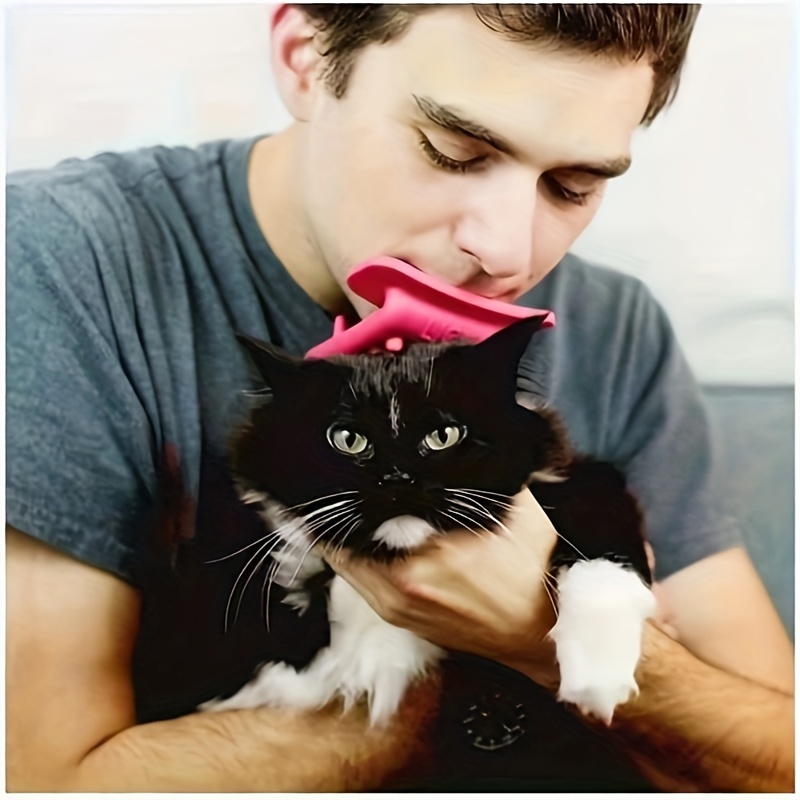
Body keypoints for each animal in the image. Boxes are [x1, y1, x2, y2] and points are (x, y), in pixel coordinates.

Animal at [197, 316, 652, 728]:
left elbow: (602, 539)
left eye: (444, 436)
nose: (398, 478)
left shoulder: (583, 478)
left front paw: (599, 671)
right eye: (347, 439)